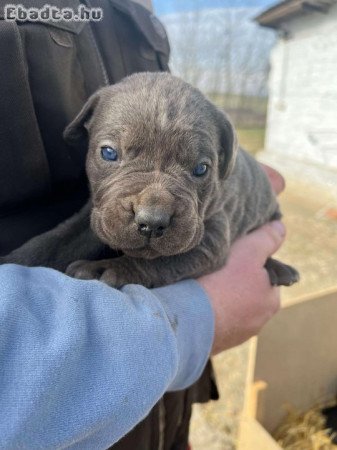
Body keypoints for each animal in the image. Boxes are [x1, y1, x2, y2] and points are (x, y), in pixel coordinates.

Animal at [1, 71, 298, 286]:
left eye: (201, 169)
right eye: (109, 153)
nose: (153, 222)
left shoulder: (210, 238)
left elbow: (158, 260)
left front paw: (105, 269)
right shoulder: (97, 213)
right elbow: (54, 242)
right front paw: (12, 260)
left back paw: (279, 270)